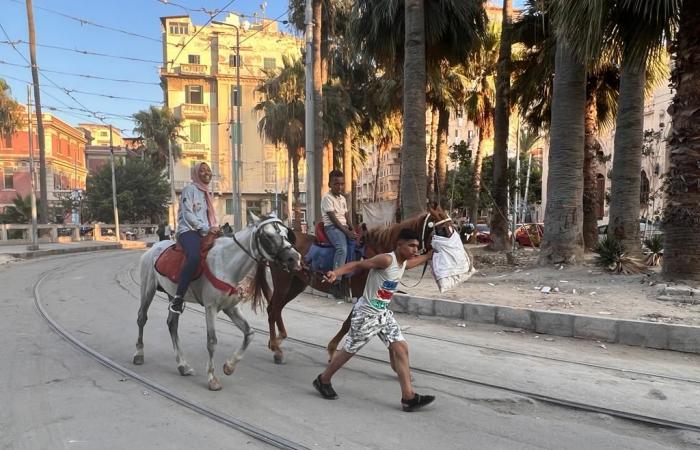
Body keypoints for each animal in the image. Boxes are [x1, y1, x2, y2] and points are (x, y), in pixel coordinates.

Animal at [133, 214, 302, 390]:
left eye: (286, 233)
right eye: (268, 235)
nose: (294, 258)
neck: (227, 264)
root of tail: (153, 248)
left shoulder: (232, 308)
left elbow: (249, 334)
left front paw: (229, 366)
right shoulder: (211, 308)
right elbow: (212, 341)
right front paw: (212, 378)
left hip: (173, 294)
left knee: (172, 323)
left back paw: (183, 365)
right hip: (147, 288)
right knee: (142, 317)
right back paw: (139, 354)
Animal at [258, 206, 454, 364]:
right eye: (443, 230)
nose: (451, 250)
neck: (378, 250)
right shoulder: (362, 294)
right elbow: (348, 324)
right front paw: (332, 350)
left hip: (297, 284)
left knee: (276, 309)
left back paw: (277, 340)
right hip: (283, 282)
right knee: (273, 310)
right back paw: (276, 349)